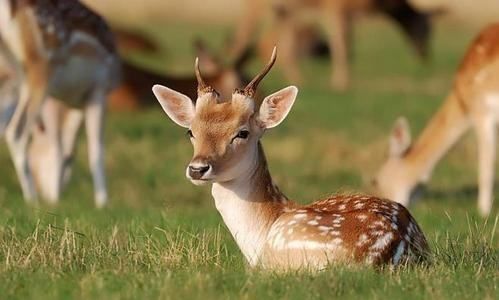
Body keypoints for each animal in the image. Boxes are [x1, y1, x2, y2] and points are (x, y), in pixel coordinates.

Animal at [0, 0, 120, 207]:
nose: (51, 194)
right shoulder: (98, 90)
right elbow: (95, 149)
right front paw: (103, 203)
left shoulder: (72, 101)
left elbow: (64, 145)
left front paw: (57, 197)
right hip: (40, 69)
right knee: (16, 132)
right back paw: (32, 200)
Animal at [229, 0, 430, 90]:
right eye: (426, 31)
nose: (425, 56)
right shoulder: (335, 9)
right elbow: (341, 46)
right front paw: (341, 82)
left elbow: (347, 48)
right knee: (242, 35)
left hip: (282, 10)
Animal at [374, 22, 499, 217]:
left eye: (376, 180)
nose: (380, 202)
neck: (462, 102)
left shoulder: (482, 111)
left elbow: (486, 165)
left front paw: (483, 212)